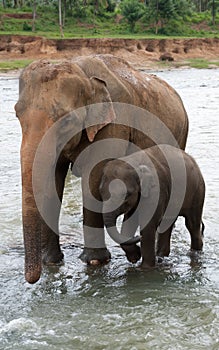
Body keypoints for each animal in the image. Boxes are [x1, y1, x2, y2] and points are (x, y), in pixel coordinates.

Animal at [15, 55, 188, 284]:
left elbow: (93, 176)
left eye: (67, 120)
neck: (82, 71)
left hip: (182, 134)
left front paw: (94, 262)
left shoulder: (114, 123)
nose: (32, 279)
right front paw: (51, 261)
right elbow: (54, 180)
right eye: (16, 114)